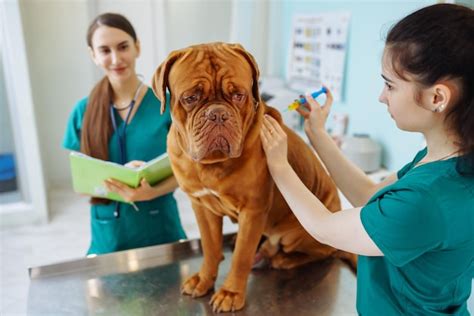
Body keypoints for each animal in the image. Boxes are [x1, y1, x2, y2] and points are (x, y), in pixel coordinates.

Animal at [152, 43, 356, 312]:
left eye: (239, 95)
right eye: (190, 98)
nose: (217, 114)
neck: (212, 164)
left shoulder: (253, 210)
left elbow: (241, 256)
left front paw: (230, 293)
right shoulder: (201, 206)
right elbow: (209, 246)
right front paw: (204, 279)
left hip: (298, 234)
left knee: (324, 252)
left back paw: (283, 259)